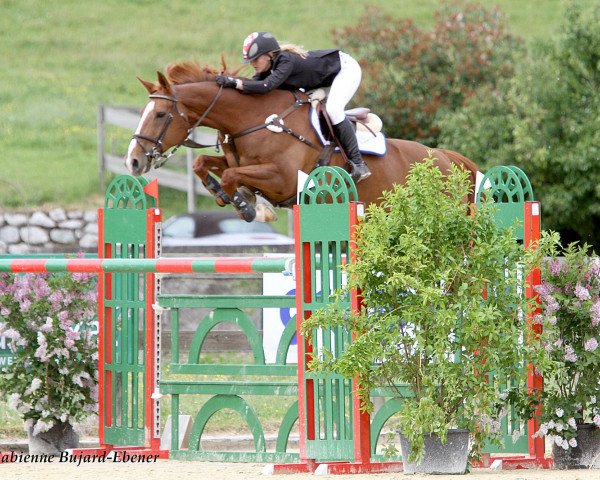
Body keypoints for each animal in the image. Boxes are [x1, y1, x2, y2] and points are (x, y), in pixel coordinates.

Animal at [126, 61, 478, 222]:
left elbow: (230, 176)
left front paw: (246, 206)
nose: (133, 161)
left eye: (160, 114)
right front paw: (230, 196)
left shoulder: (282, 179)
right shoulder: (241, 162)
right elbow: (205, 163)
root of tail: (446, 157)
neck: (255, 119)